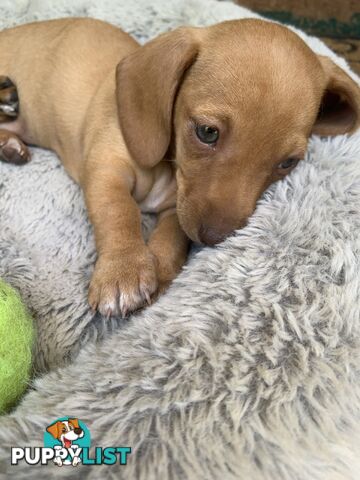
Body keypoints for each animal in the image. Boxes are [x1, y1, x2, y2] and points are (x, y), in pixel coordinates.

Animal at [0, 16, 358, 316]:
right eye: (207, 132)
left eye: (287, 162)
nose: (214, 238)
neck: (166, 166)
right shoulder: (106, 171)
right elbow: (118, 212)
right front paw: (123, 271)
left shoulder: (178, 206)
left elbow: (173, 235)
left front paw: (159, 271)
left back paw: (9, 144)